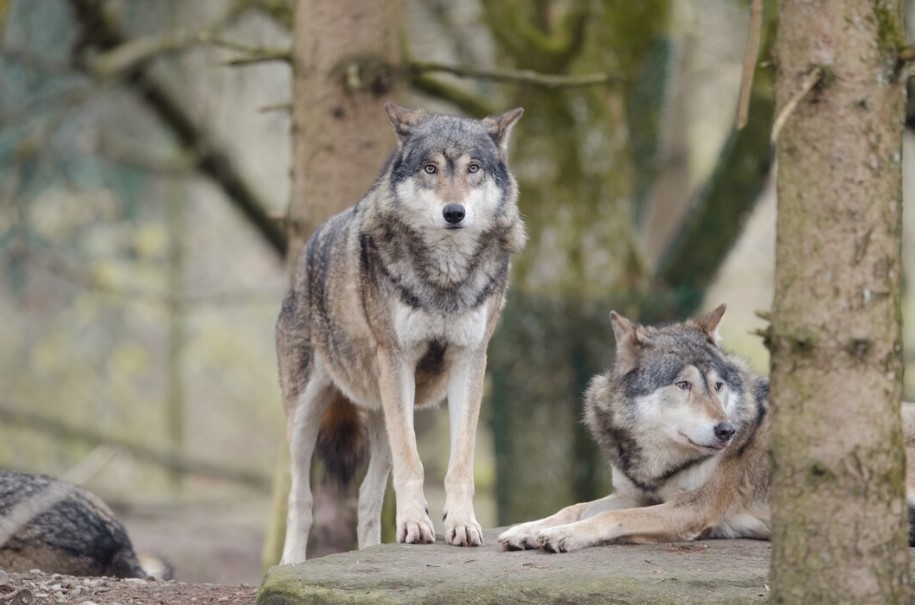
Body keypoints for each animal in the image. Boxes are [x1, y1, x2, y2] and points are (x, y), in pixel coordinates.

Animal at [276, 100, 524, 560]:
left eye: (473, 168)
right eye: (430, 168)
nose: (454, 212)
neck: (444, 277)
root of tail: (306, 253)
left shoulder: (470, 361)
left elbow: (460, 462)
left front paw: (462, 524)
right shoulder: (397, 358)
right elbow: (414, 464)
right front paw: (414, 524)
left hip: (384, 414)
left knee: (368, 501)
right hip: (306, 418)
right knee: (301, 501)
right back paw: (291, 565)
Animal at [498, 306, 915, 552]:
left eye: (717, 386)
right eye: (683, 385)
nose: (726, 431)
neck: (658, 465)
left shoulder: (691, 510)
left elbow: (609, 518)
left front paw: (561, 537)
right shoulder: (635, 494)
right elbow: (575, 507)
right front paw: (530, 530)